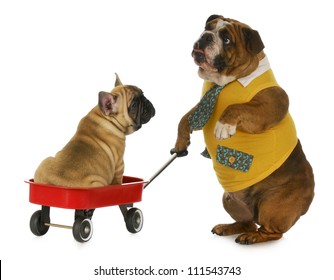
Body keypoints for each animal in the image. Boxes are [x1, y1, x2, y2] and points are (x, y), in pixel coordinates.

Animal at [172, 14, 316, 245]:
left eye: (227, 40)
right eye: (208, 27)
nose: (206, 36)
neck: (224, 83)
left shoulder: (269, 106)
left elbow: (236, 107)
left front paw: (223, 126)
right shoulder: (202, 105)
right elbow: (186, 118)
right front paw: (180, 142)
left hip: (272, 206)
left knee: (272, 232)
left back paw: (252, 237)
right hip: (229, 199)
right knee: (247, 221)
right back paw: (228, 228)